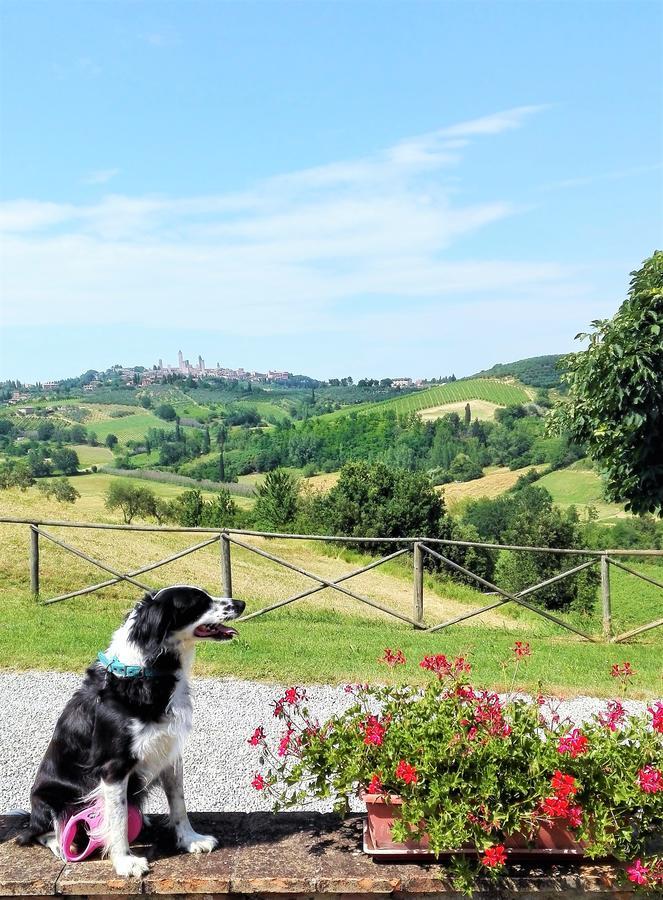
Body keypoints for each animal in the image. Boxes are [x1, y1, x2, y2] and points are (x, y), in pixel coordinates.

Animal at [18, 588, 246, 876]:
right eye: (199, 602)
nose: (241, 603)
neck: (146, 674)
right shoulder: (113, 766)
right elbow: (117, 819)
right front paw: (125, 861)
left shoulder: (170, 750)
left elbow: (179, 803)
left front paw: (190, 839)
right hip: (52, 800)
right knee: (36, 832)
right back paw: (60, 844)